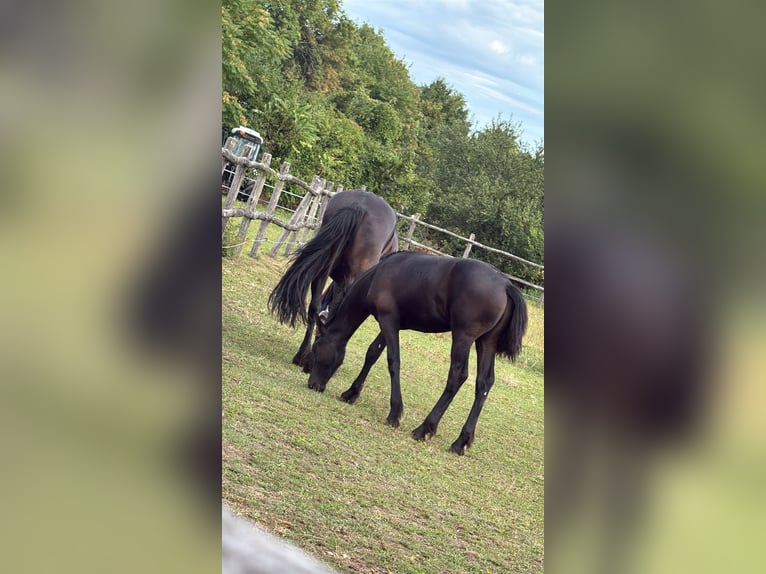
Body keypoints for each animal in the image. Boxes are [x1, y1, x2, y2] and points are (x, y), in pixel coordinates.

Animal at [306, 251, 528, 455]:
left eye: (316, 350)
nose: (313, 384)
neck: (378, 274)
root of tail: (505, 285)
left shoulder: (388, 321)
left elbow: (393, 361)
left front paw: (395, 413)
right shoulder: (390, 323)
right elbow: (372, 353)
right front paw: (351, 393)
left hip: (463, 339)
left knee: (457, 377)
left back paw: (424, 428)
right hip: (486, 343)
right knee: (484, 383)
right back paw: (460, 442)